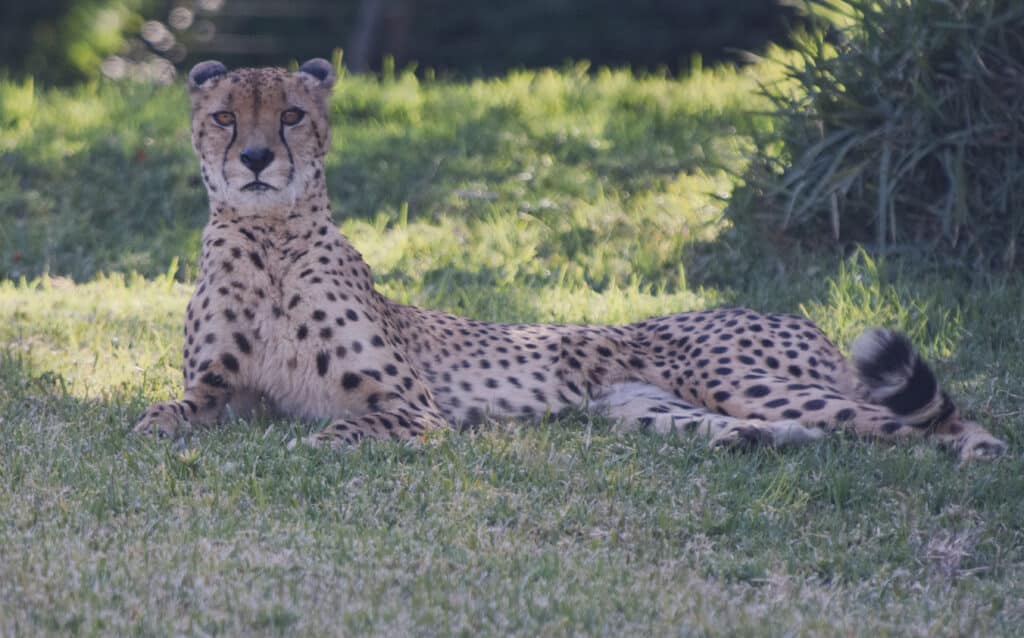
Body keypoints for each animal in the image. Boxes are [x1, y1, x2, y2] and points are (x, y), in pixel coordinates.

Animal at [132, 57, 1003, 460]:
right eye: (223, 117)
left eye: (289, 115)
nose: (253, 159)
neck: (270, 241)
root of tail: (802, 320)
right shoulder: (229, 392)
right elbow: (177, 407)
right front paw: (153, 423)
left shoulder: (413, 406)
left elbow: (357, 422)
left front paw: (324, 441)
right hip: (644, 406)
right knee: (831, 431)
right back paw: (755, 443)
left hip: (737, 377)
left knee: (906, 419)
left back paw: (977, 448)